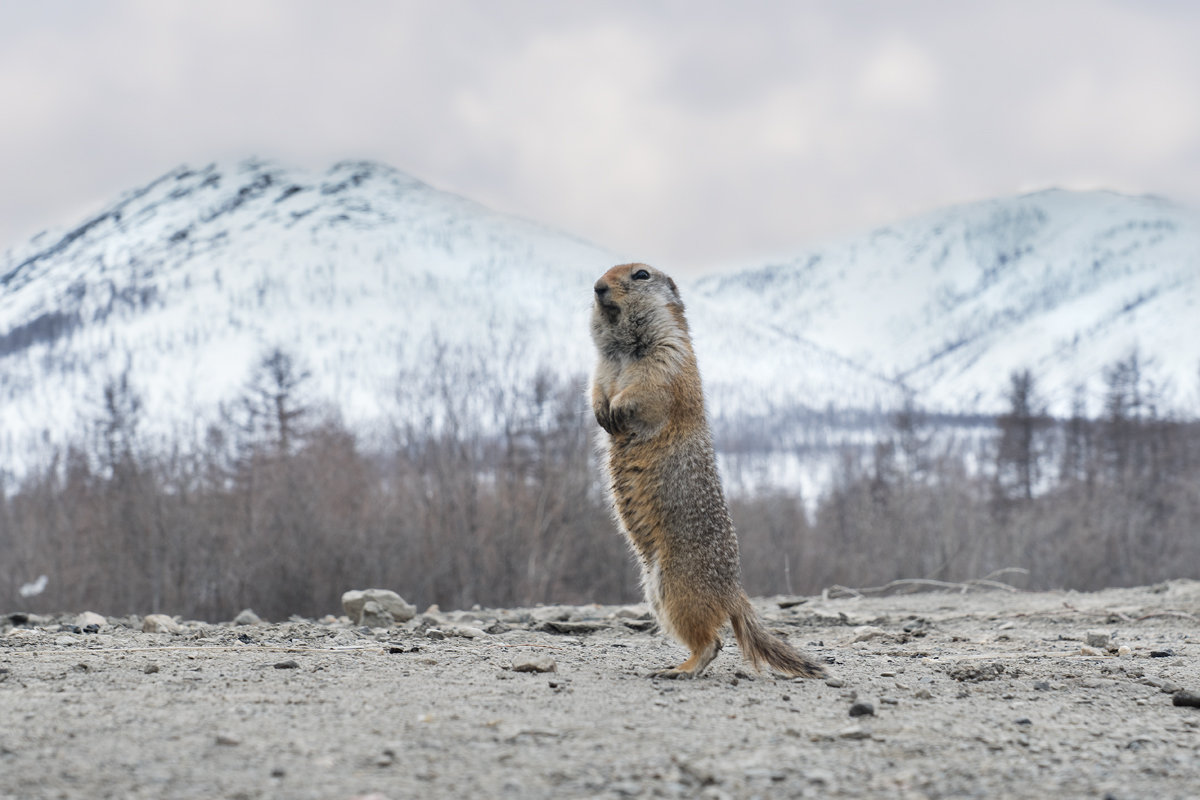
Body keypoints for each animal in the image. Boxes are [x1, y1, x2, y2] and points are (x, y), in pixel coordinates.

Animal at [588, 266, 825, 681]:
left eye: (641, 274)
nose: (598, 287)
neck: (623, 350)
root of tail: (734, 592)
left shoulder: (668, 358)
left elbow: (648, 389)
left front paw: (618, 406)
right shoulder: (601, 368)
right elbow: (595, 387)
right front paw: (603, 409)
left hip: (679, 588)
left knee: (712, 642)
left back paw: (679, 669)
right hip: (657, 591)